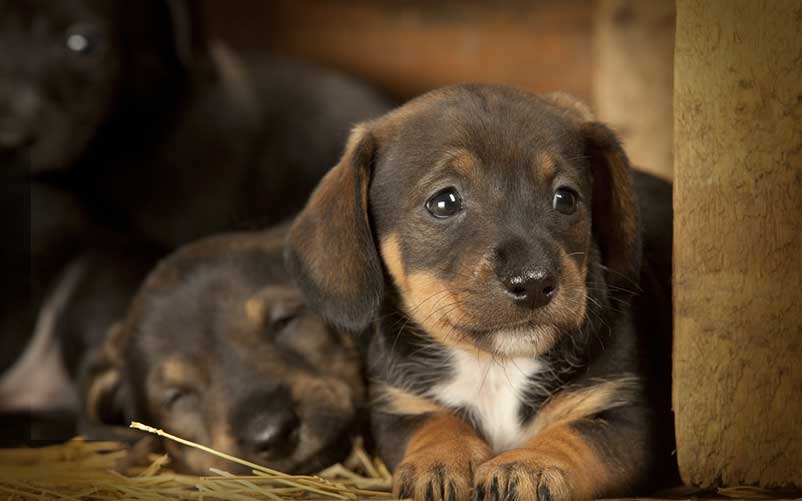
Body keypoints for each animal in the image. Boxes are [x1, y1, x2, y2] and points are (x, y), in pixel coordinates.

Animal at [288, 85, 676, 500]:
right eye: (444, 202)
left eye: (566, 198)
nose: (534, 284)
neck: (495, 365)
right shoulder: (402, 408)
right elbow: (435, 424)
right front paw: (441, 461)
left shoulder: (624, 417)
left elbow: (574, 436)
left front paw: (528, 465)